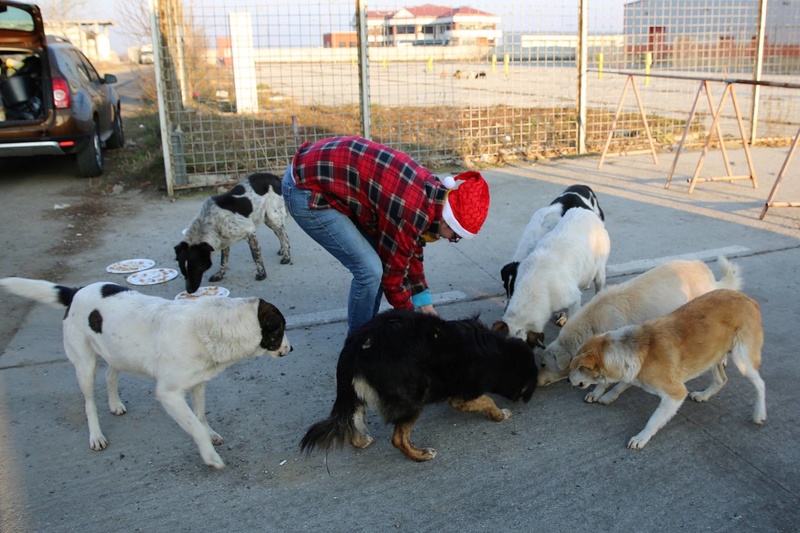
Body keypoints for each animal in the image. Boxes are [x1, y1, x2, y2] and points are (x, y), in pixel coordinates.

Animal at [0, 276, 294, 468]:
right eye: (280, 329)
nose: (291, 349)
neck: (211, 327)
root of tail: (76, 291)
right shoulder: (169, 394)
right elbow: (193, 426)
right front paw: (209, 456)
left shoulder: (198, 383)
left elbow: (200, 416)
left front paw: (210, 434)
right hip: (84, 363)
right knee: (89, 402)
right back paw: (96, 435)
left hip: (117, 354)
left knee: (110, 376)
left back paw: (115, 404)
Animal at [300, 308, 536, 462]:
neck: (499, 353)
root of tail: (356, 345)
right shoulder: (461, 396)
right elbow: (487, 400)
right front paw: (500, 414)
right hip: (413, 397)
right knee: (398, 438)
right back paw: (420, 455)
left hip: (354, 392)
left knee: (351, 418)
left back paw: (360, 440)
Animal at [564, 290, 764, 448]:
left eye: (578, 368)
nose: (567, 379)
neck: (632, 349)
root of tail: (749, 299)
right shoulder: (633, 372)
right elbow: (621, 384)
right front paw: (607, 396)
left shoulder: (675, 394)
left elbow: (653, 420)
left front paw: (641, 437)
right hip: (712, 355)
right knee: (721, 380)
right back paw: (703, 395)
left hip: (742, 359)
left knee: (760, 383)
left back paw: (759, 413)